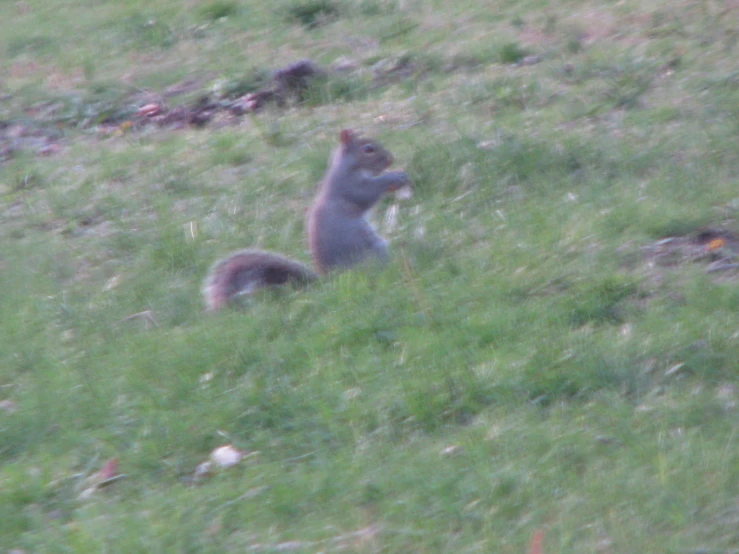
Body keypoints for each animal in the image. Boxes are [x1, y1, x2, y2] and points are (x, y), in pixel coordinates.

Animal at [202, 129, 410, 310]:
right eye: (368, 149)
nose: (391, 159)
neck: (348, 167)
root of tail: (330, 280)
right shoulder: (349, 187)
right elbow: (367, 193)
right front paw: (394, 177)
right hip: (373, 253)